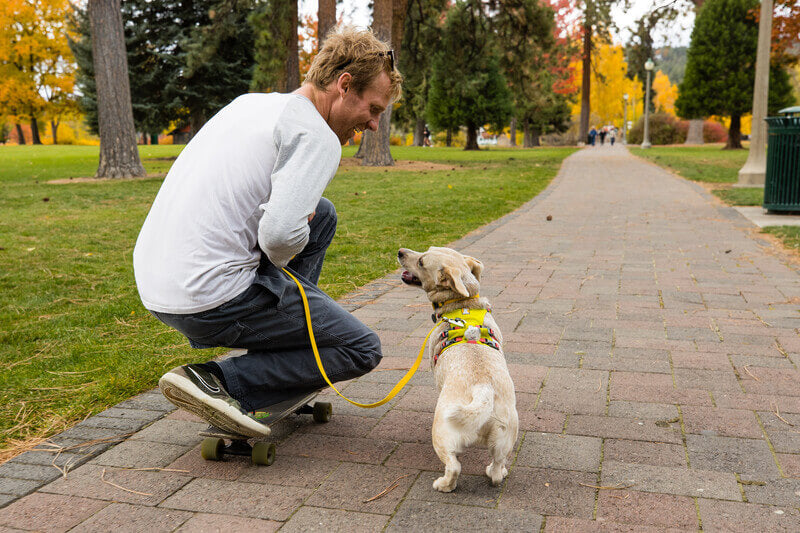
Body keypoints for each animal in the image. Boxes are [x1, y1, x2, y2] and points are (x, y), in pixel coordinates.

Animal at [398, 245, 520, 490]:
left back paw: (443, 485)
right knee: (496, 468)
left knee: (454, 466)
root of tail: (483, 389)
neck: (462, 306)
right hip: (505, 437)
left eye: (422, 261)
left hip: (441, 433)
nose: (400, 251)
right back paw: (496, 472)